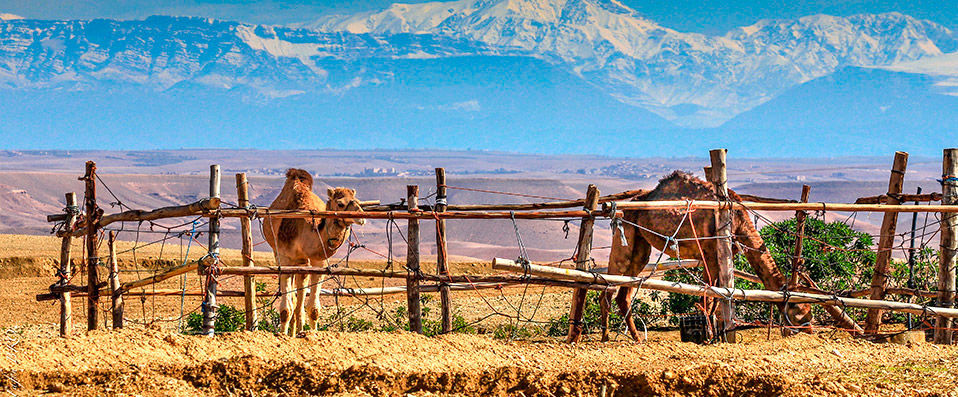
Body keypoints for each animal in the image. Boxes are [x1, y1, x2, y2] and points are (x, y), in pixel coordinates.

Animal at [264, 169, 366, 336]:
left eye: (357, 201)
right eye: (340, 203)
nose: (362, 217)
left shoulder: (318, 262)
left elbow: (313, 309)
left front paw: (313, 334)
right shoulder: (284, 257)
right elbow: (286, 309)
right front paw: (283, 335)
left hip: (302, 262)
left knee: (299, 298)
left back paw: (298, 331)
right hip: (281, 254)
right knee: (293, 300)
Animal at [604, 172, 812, 342]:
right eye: (799, 310)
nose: (809, 329)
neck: (738, 223)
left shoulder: (717, 256)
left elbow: (717, 292)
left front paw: (716, 334)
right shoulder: (710, 254)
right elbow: (711, 293)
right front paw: (709, 335)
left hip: (640, 246)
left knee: (624, 293)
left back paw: (637, 337)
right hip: (625, 232)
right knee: (609, 283)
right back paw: (605, 337)